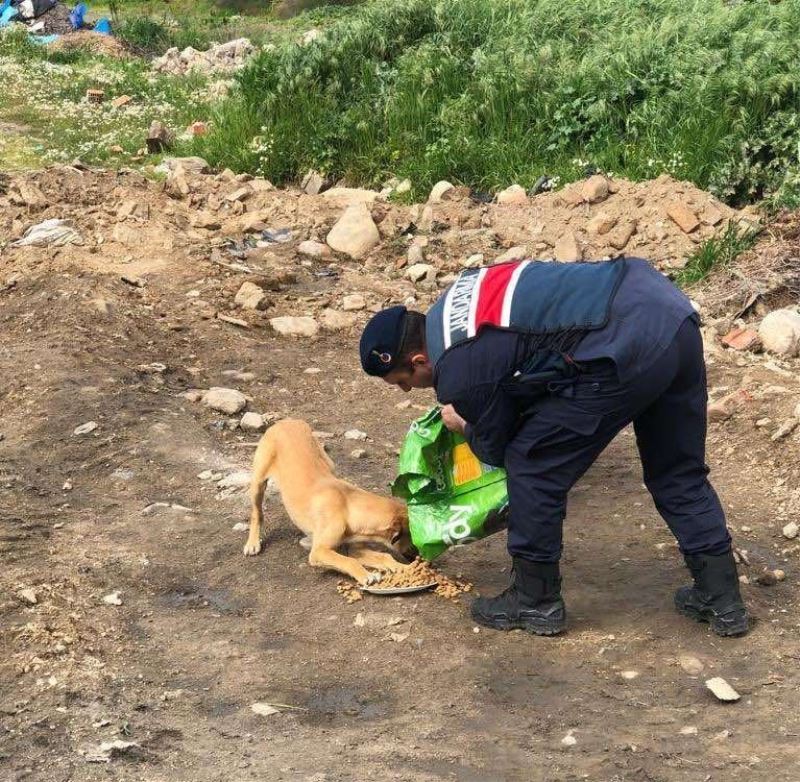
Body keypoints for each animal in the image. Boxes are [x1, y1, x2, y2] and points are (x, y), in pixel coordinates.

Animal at [244, 420, 410, 584]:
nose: (414, 556)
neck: (347, 506)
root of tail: (287, 421)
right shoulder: (319, 552)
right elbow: (349, 562)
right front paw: (366, 575)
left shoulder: (354, 548)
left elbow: (384, 556)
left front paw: (403, 568)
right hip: (258, 482)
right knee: (256, 513)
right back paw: (252, 543)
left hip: (329, 463)